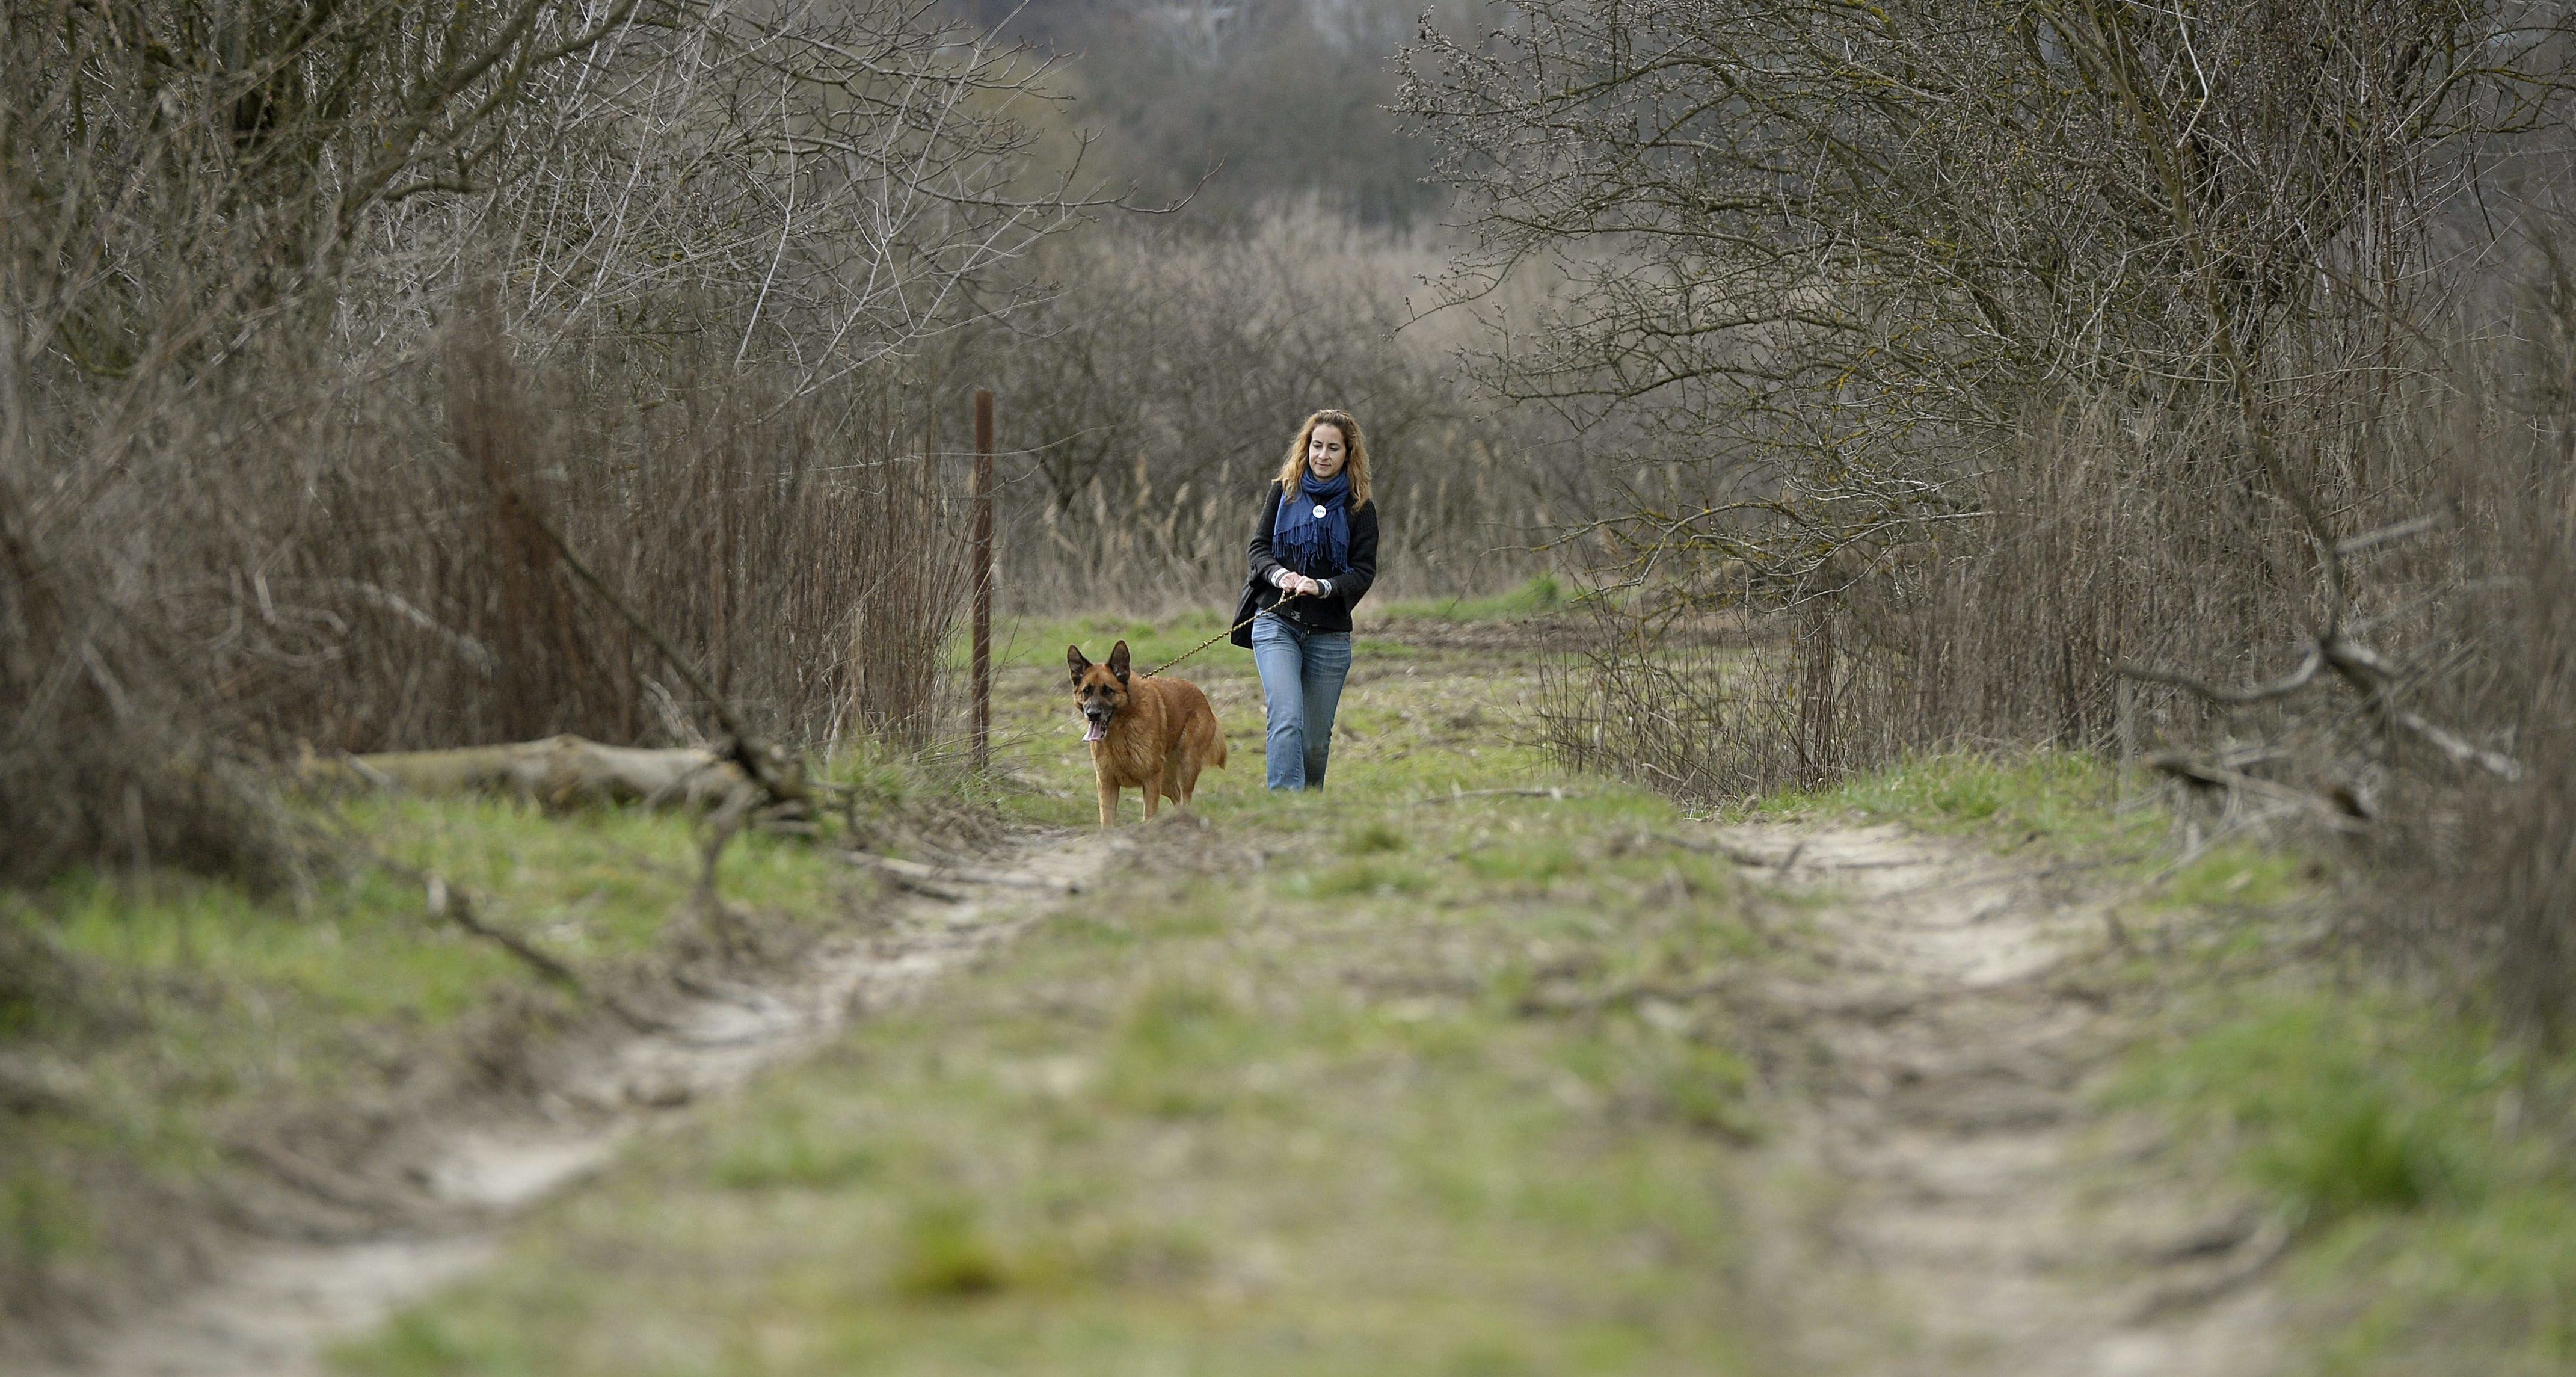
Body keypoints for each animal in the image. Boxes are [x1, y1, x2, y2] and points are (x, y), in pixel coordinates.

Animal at [1066, 644, 1226, 830]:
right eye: (1087, 691)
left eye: (1108, 691)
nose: (1092, 714)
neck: (1120, 731)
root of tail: (1201, 695)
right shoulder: (1107, 783)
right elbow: (1107, 821)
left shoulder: (1150, 781)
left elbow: (1149, 816)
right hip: (1165, 781)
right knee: (1176, 796)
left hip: (1186, 767)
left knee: (1185, 798)